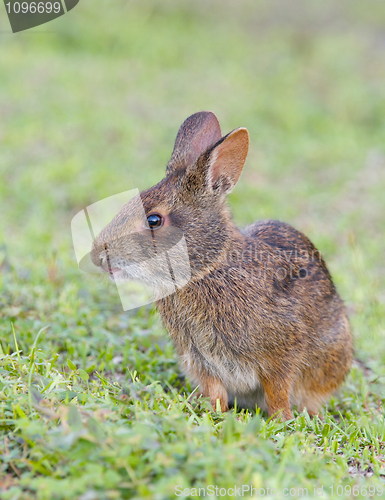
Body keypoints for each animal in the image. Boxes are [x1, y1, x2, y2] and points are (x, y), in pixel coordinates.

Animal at [90, 111, 352, 420]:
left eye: (153, 220)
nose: (97, 255)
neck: (206, 268)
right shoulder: (201, 360)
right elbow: (215, 391)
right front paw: (211, 411)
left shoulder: (281, 353)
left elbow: (278, 391)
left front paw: (282, 420)